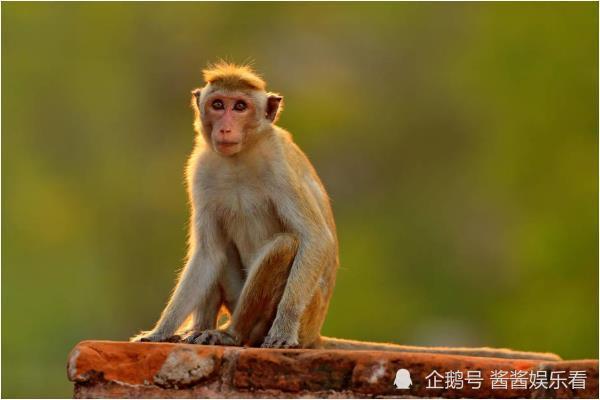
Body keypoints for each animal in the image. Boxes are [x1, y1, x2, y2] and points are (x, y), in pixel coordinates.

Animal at [130, 61, 556, 362]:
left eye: (240, 106)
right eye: (217, 105)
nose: (225, 128)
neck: (241, 157)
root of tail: (315, 334)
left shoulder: (278, 166)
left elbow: (313, 238)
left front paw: (280, 331)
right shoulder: (200, 171)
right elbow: (208, 252)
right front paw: (159, 331)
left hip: (300, 315)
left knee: (285, 244)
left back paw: (233, 334)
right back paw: (201, 329)